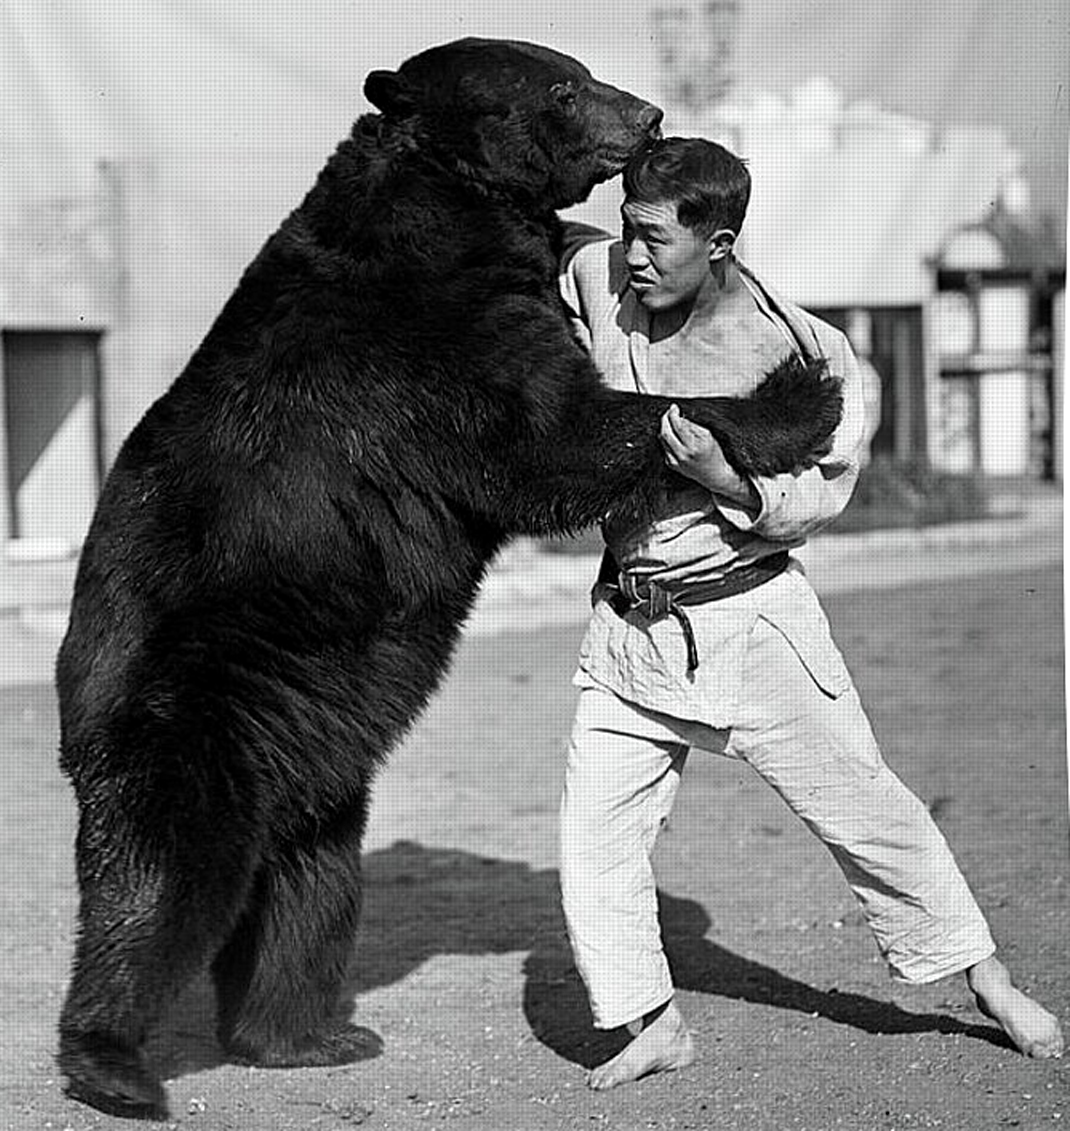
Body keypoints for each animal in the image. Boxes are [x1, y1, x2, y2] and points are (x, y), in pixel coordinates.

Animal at [54, 38, 841, 1120]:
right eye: (562, 85)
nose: (646, 115)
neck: (455, 211)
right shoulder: (430, 346)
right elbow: (561, 437)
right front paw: (799, 390)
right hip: (189, 716)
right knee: (163, 878)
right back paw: (114, 1064)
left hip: (308, 754)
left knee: (309, 886)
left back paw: (307, 1035)